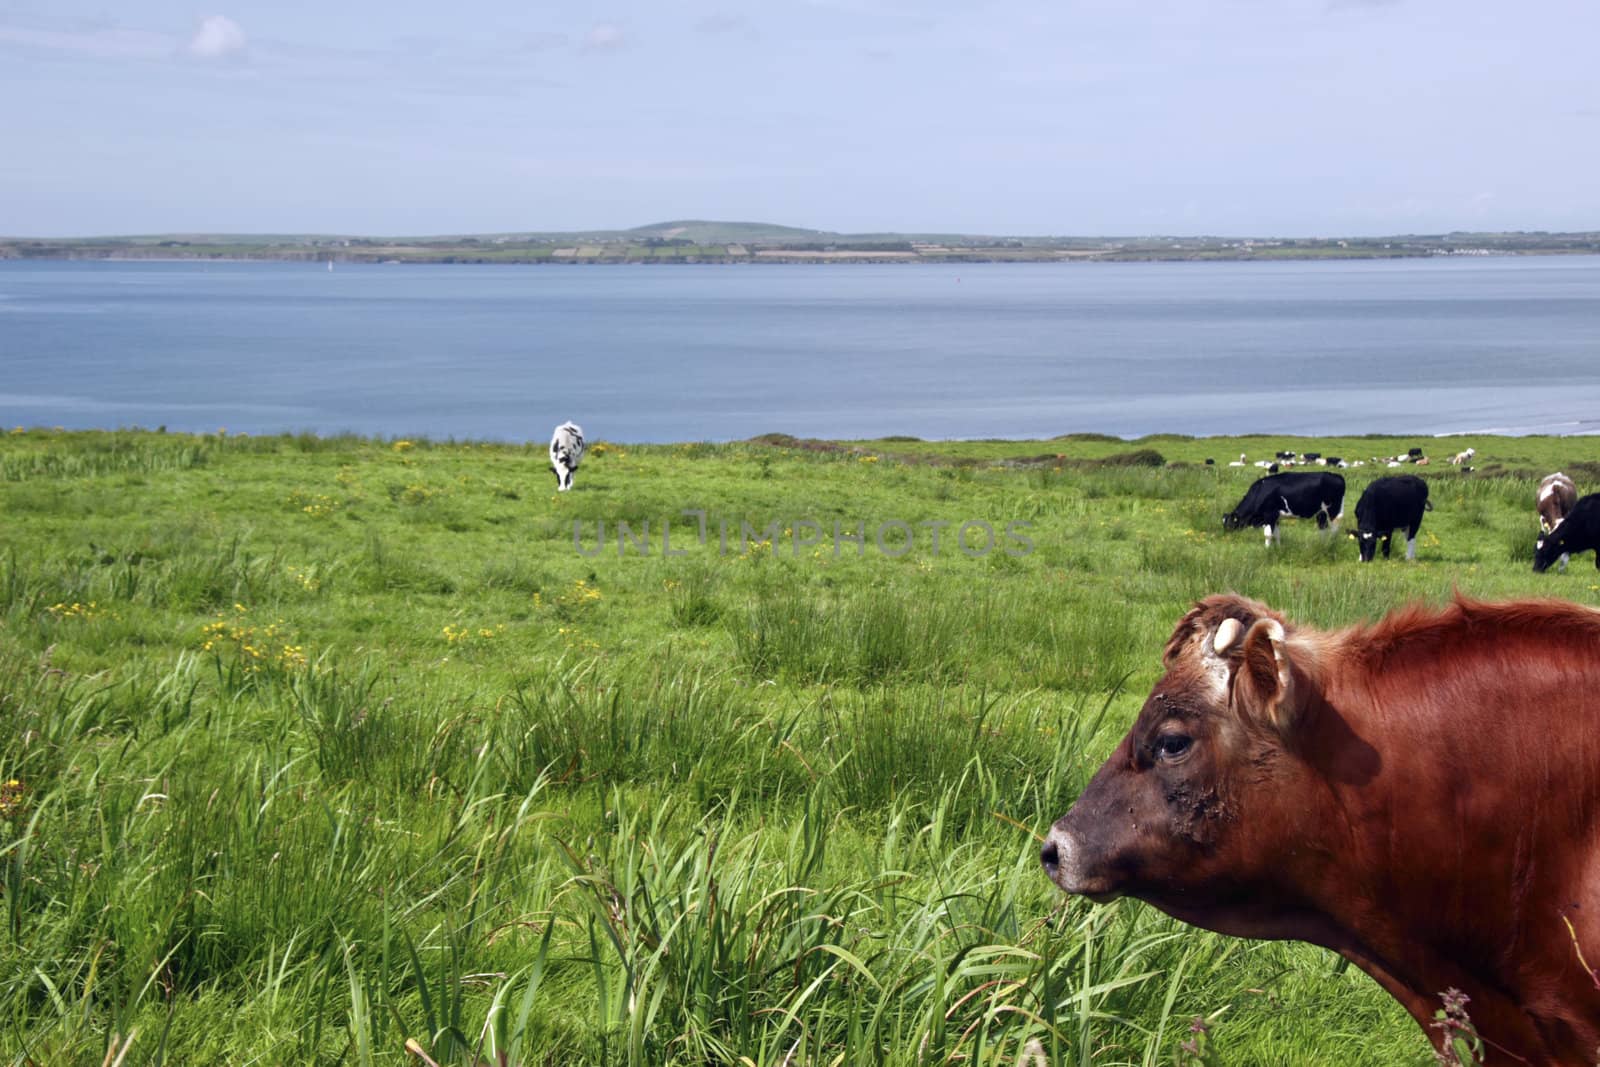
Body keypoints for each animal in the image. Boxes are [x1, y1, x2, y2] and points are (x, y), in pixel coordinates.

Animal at [1222, 470, 1350, 547]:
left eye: (1230, 524)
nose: (1226, 536)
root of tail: (1336, 476)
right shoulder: (1276, 518)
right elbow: (1277, 534)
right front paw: (1278, 548)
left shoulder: (1269, 515)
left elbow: (1268, 534)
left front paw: (1266, 549)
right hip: (1321, 512)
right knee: (1323, 528)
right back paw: (1322, 545)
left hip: (1334, 510)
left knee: (1334, 528)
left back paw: (1331, 544)